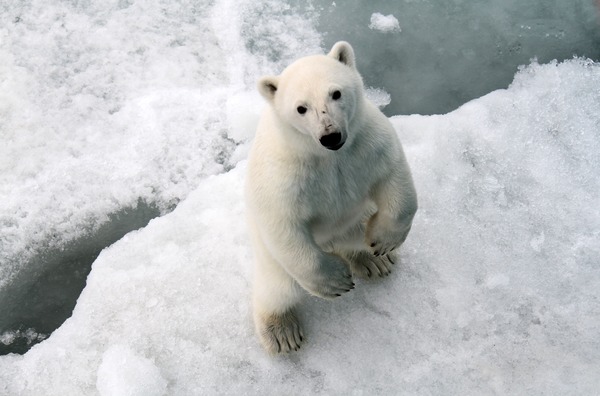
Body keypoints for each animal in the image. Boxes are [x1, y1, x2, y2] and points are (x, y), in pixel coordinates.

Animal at [245, 41, 418, 356]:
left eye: (335, 93)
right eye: (301, 108)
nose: (331, 136)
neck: (327, 156)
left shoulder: (367, 143)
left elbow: (394, 179)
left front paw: (384, 242)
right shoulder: (285, 176)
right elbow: (283, 224)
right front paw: (336, 282)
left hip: (357, 219)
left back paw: (374, 261)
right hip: (269, 257)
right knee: (277, 287)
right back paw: (282, 332)